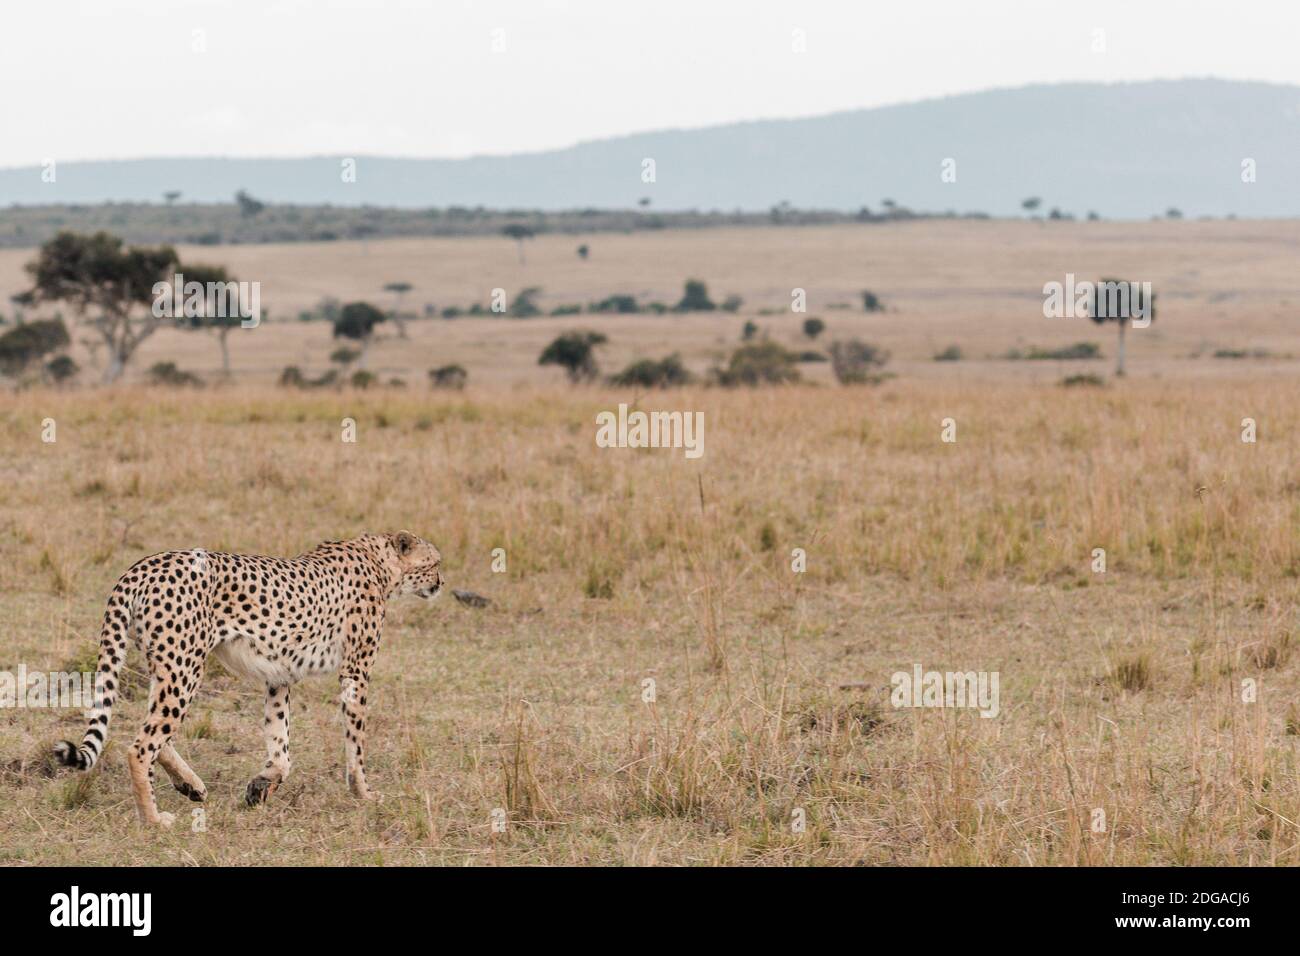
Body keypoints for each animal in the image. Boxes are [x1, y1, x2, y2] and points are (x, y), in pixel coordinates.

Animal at [52, 535, 441, 827]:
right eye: (434, 563)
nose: (441, 583)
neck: (380, 561)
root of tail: (144, 564)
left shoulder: (278, 675)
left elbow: (280, 742)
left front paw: (262, 786)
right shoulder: (355, 672)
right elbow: (356, 744)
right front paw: (364, 793)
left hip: (166, 664)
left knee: (153, 733)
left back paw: (190, 785)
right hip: (184, 668)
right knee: (141, 745)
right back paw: (154, 820)